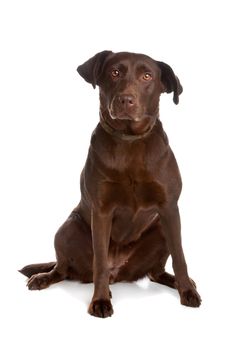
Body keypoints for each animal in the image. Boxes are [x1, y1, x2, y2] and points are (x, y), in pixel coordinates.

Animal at [20, 51, 201, 318]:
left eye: (147, 76)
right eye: (115, 72)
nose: (126, 100)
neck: (130, 140)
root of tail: (120, 273)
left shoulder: (169, 209)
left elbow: (180, 257)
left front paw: (187, 290)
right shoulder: (101, 211)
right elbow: (100, 262)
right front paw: (100, 300)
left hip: (160, 229)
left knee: (156, 272)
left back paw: (176, 281)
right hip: (68, 228)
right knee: (63, 268)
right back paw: (44, 278)